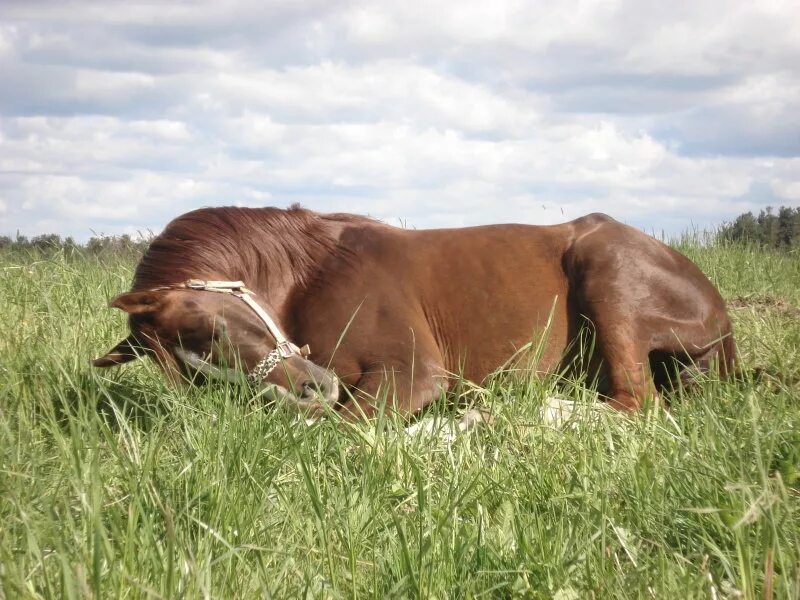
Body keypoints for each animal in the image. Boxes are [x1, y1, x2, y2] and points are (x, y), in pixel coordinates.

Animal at [94, 205, 736, 418]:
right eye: (196, 379)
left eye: (210, 327)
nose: (310, 389)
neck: (313, 271)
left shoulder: (412, 373)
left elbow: (338, 427)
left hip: (609, 274)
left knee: (635, 406)